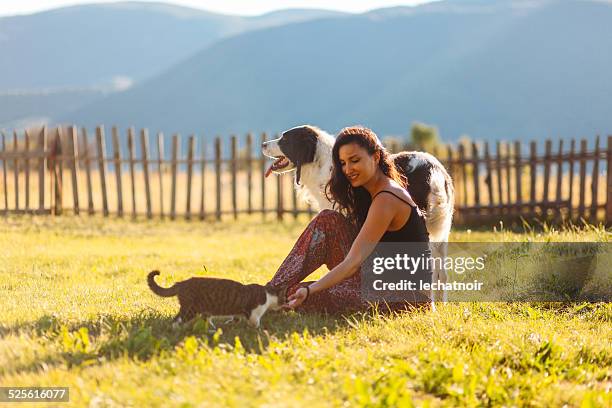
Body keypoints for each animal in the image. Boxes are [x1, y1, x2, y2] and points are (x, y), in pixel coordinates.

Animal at [148, 270, 286, 328]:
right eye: (284, 298)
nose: (286, 303)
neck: (267, 294)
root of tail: (181, 283)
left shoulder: (239, 311)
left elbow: (236, 318)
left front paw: (230, 323)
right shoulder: (254, 312)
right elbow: (255, 322)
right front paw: (258, 330)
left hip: (203, 309)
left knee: (205, 319)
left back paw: (212, 329)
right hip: (191, 309)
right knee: (176, 320)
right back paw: (176, 329)